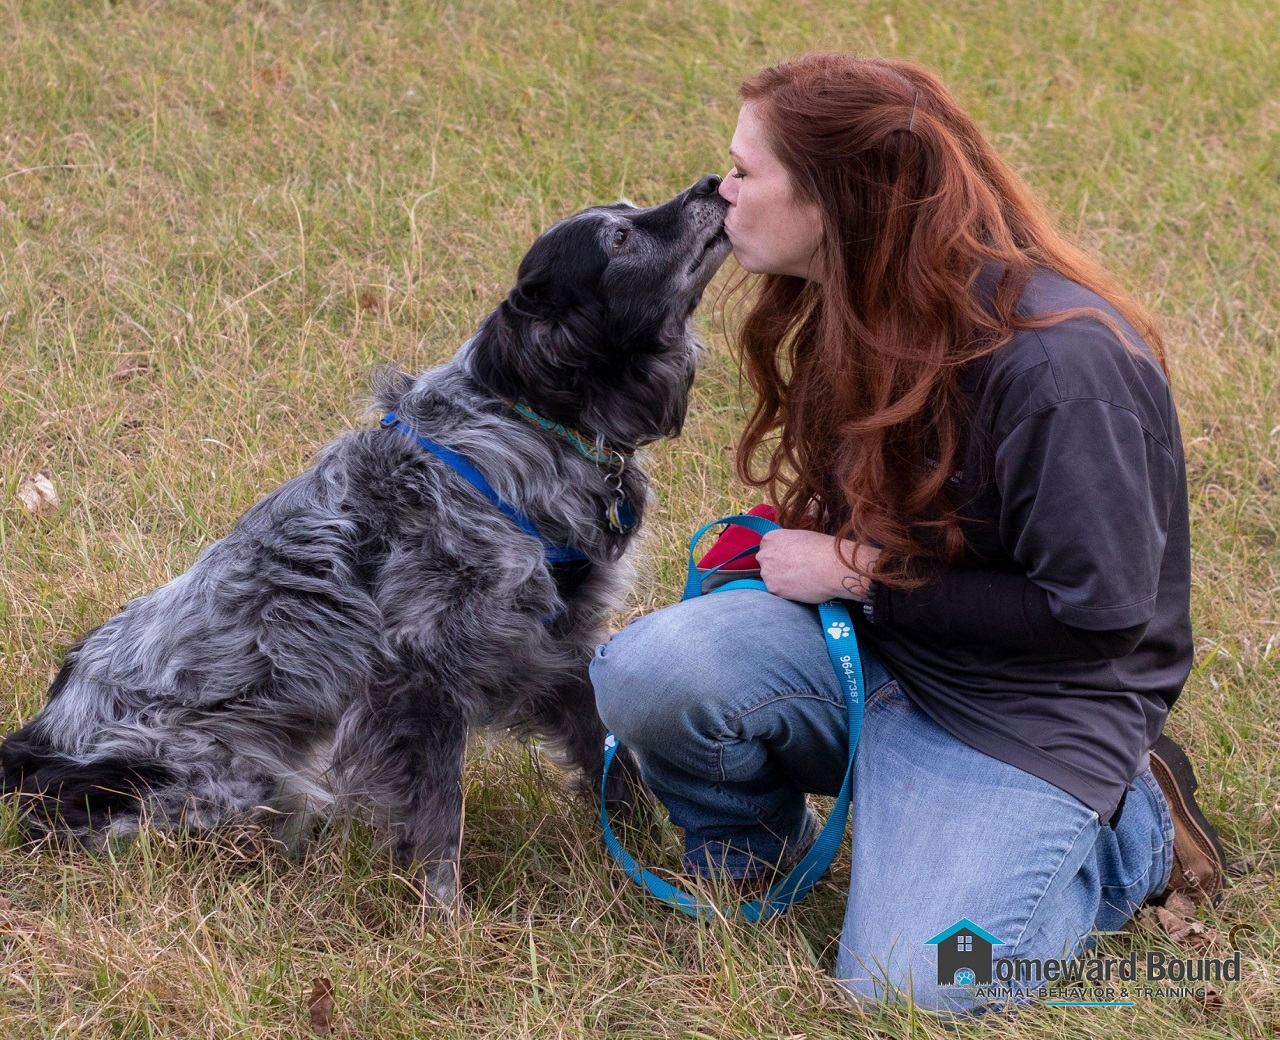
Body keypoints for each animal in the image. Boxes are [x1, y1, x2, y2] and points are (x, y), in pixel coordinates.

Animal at [0, 174, 732, 906]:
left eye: (629, 211)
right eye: (620, 238)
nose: (712, 183)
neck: (518, 431)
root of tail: (32, 748)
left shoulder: (563, 648)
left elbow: (614, 766)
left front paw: (656, 862)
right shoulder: (418, 680)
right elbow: (437, 819)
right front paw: (443, 915)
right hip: (233, 780)